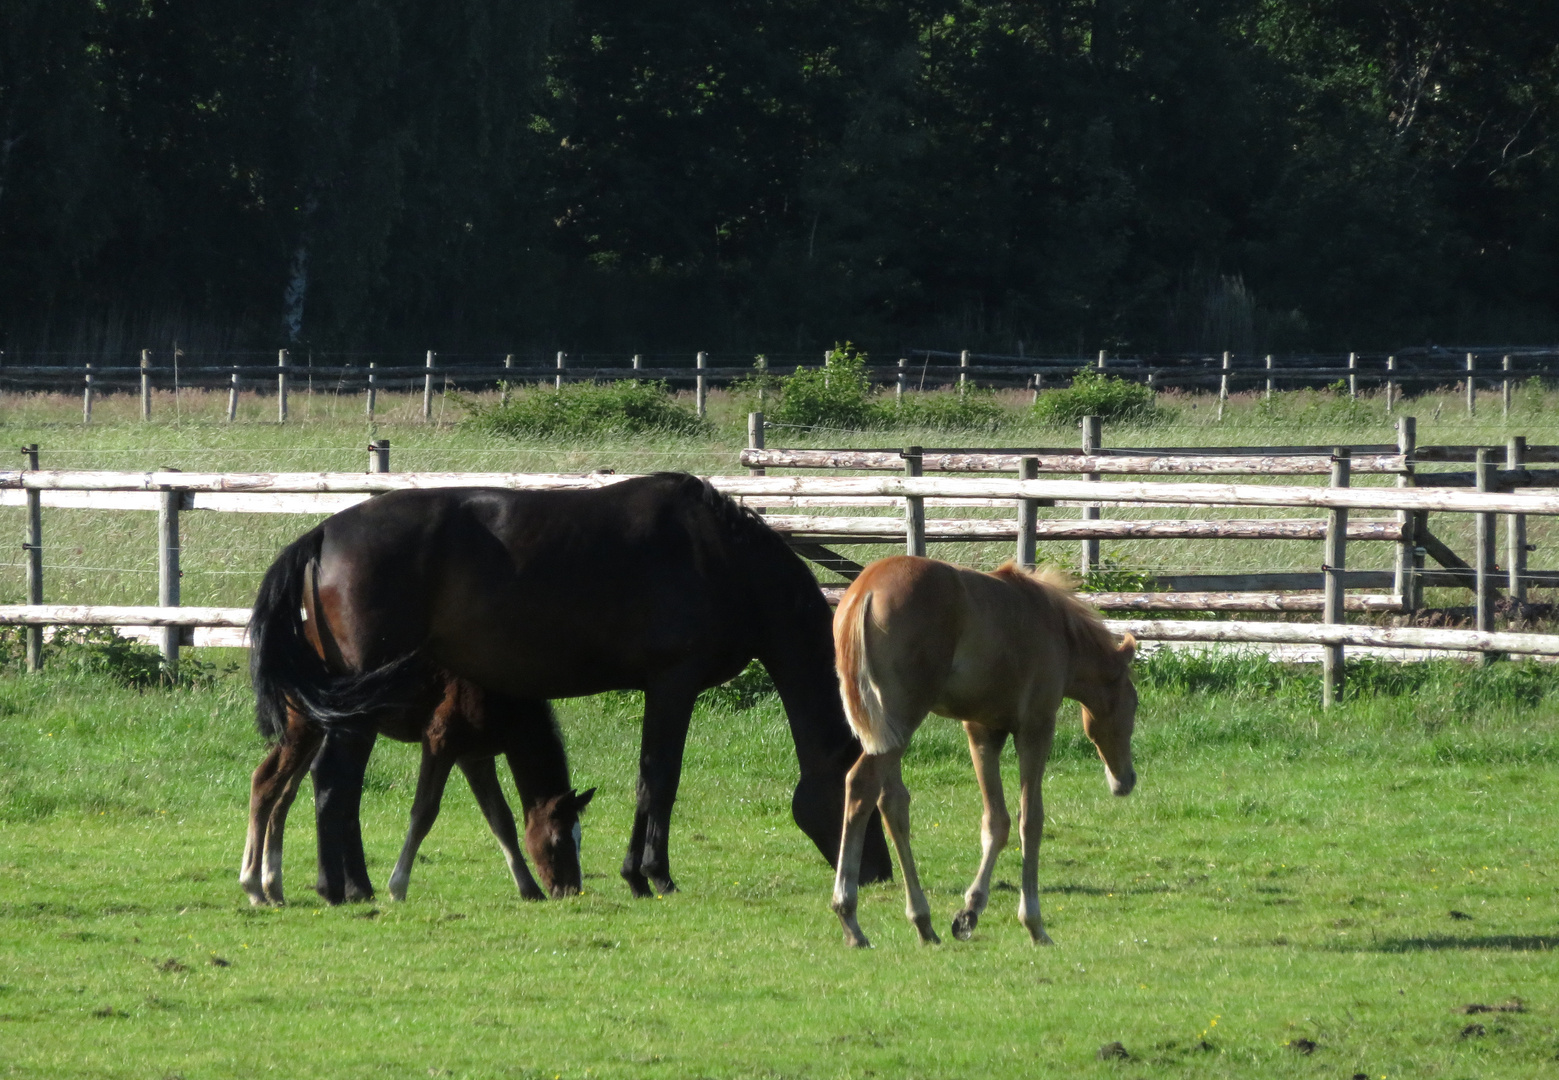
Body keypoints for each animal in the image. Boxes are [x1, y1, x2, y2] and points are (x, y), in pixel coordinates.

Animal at [240, 670, 592, 903]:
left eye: (580, 839)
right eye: (559, 840)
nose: (571, 890)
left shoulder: (475, 758)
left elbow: (501, 821)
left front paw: (529, 888)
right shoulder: (440, 741)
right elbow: (424, 812)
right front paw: (397, 886)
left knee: (281, 792)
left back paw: (272, 886)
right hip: (304, 727)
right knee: (266, 782)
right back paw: (254, 886)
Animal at [835, 554, 1141, 941]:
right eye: (1133, 705)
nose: (1125, 780)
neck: (1057, 630)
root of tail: (865, 591)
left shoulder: (983, 731)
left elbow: (996, 820)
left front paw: (969, 912)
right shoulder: (1036, 727)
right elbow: (1030, 818)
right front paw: (1034, 923)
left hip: (887, 728)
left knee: (892, 802)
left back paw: (922, 921)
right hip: (903, 718)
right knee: (862, 786)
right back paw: (850, 917)